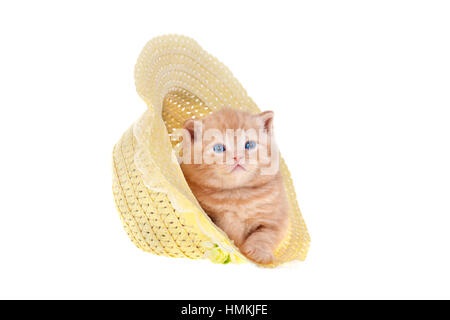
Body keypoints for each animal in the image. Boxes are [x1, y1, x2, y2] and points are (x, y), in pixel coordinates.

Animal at [180, 108, 288, 264]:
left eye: (249, 145)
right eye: (219, 148)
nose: (237, 157)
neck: (236, 194)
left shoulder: (276, 218)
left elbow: (265, 235)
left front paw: (259, 253)